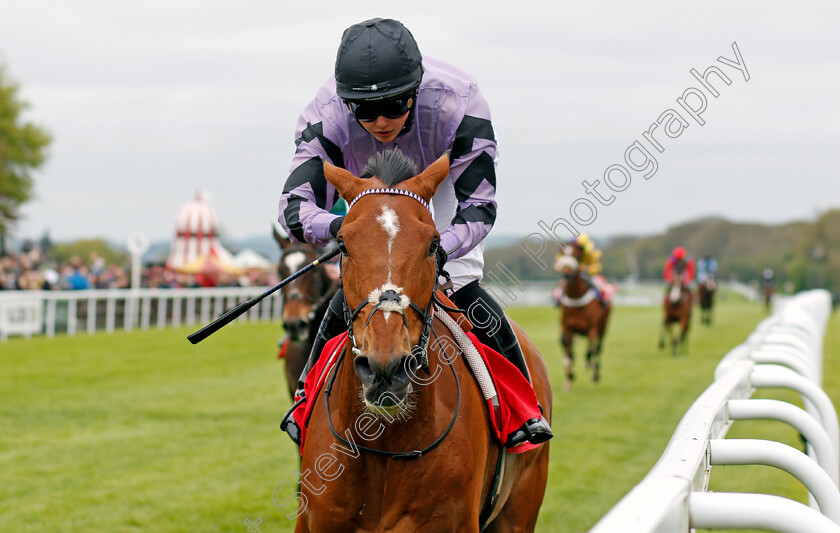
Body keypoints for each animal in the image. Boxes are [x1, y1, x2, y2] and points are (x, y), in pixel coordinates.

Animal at [556, 246, 612, 390]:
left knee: (597, 349)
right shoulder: (567, 328)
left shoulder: (592, 329)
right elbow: (570, 353)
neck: (576, 297)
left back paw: (595, 374)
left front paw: (590, 369)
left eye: (577, 255)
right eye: (563, 254)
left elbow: (589, 351)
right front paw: (569, 378)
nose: (566, 273)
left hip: (603, 327)